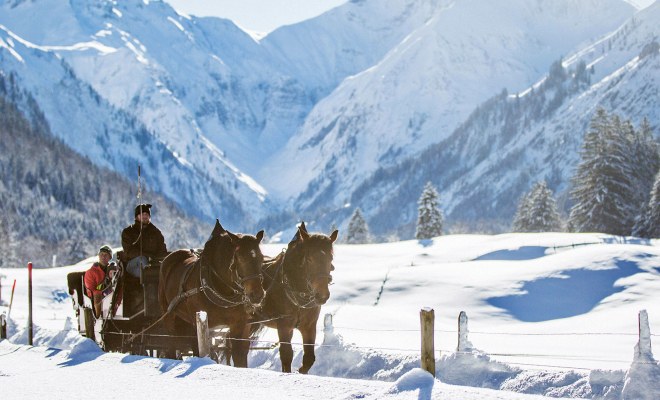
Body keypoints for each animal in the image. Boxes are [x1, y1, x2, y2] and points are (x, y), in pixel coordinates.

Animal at [159, 219, 264, 366]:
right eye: (241, 258)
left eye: (261, 258)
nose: (257, 295)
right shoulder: (201, 326)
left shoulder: (240, 326)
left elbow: (239, 357)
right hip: (169, 316)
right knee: (173, 345)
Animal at [250, 220, 338, 374]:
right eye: (309, 259)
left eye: (330, 258)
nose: (322, 295)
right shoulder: (284, 326)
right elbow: (286, 355)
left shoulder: (309, 327)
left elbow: (309, 358)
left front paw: (301, 370)